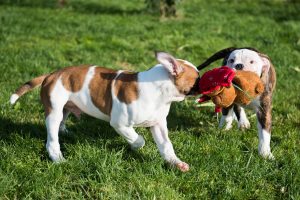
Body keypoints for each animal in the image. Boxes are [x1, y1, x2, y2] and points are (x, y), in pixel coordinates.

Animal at [10, 52, 200, 172]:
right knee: (52, 137)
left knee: (62, 122)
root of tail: (52, 74)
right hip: (54, 110)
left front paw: (176, 163)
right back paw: (57, 157)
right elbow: (138, 139)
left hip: (65, 107)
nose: (203, 78)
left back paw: (66, 132)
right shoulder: (120, 124)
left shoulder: (158, 125)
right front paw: (135, 145)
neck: (159, 91)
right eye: (197, 77)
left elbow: (166, 146)